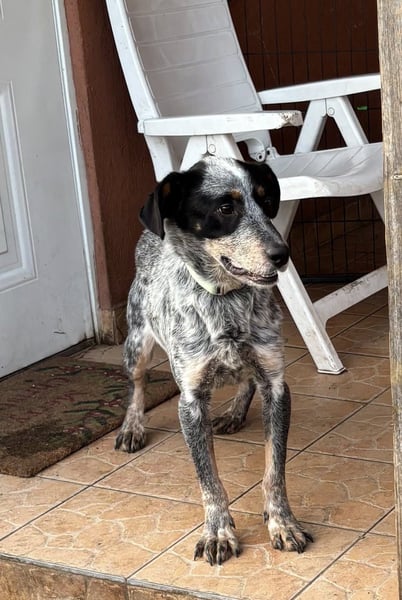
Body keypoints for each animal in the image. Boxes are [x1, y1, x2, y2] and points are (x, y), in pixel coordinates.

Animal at [115, 155, 313, 565]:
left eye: (265, 201)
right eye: (225, 208)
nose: (282, 254)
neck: (227, 302)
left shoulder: (276, 386)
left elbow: (274, 470)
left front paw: (282, 523)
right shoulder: (190, 402)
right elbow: (208, 478)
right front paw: (218, 531)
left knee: (246, 379)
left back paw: (235, 412)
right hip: (137, 341)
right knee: (137, 384)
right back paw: (132, 427)